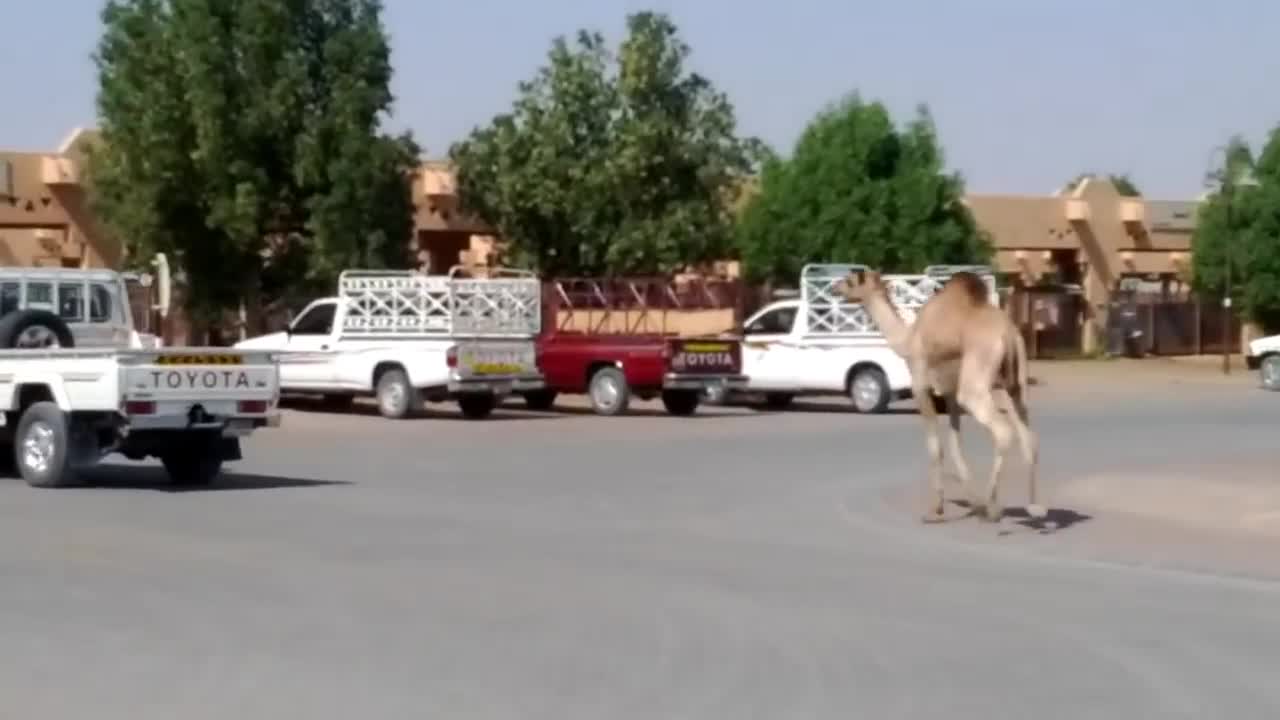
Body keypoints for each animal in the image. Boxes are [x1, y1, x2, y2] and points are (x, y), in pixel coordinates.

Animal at [834, 269, 1044, 520]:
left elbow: (935, 447)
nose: (835, 288)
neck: (907, 340)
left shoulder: (920, 384)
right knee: (1029, 435)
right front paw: (973, 502)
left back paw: (993, 507)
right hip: (1014, 382)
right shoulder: (951, 393)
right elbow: (955, 444)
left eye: (850, 281)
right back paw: (1034, 507)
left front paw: (936, 509)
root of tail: (1008, 335)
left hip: (975, 382)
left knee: (1002, 431)